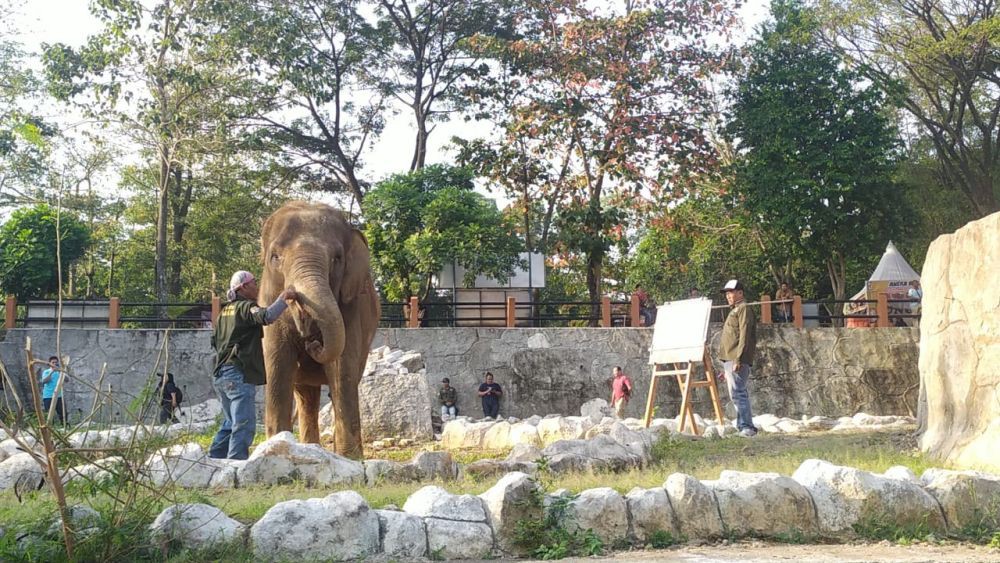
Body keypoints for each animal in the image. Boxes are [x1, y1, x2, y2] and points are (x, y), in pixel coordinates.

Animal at [258, 202, 378, 458]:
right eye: (275, 256)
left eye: (337, 258)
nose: (312, 343)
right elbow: (278, 368)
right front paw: (273, 449)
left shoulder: (350, 309)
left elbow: (341, 370)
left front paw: (351, 459)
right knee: (306, 396)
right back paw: (309, 448)